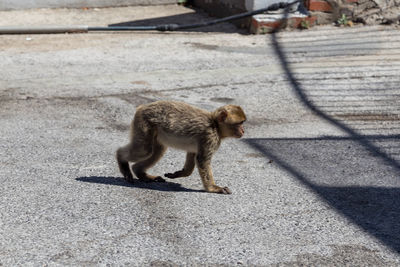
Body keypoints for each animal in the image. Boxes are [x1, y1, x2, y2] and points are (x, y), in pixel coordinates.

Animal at [115, 100, 245, 195]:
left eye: (243, 123)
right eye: (239, 124)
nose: (243, 131)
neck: (215, 125)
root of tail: (142, 107)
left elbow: (192, 154)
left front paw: (179, 173)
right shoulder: (210, 137)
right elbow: (202, 159)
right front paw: (213, 188)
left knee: (156, 151)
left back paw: (140, 172)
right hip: (143, 123)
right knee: (145, 150)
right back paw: (122, 160)